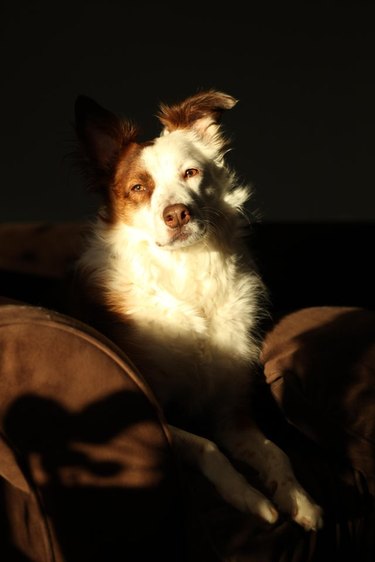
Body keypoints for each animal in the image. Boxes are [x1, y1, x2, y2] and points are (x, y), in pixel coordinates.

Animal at [72, 89, 324, 528]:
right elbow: (208, 447)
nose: (177, 215)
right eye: (138, 187)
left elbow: (276, 453)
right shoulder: (159, 413)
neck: (187, 270)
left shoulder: (231, 412)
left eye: (190, 173)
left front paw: (299, 500)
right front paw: (251, 498)